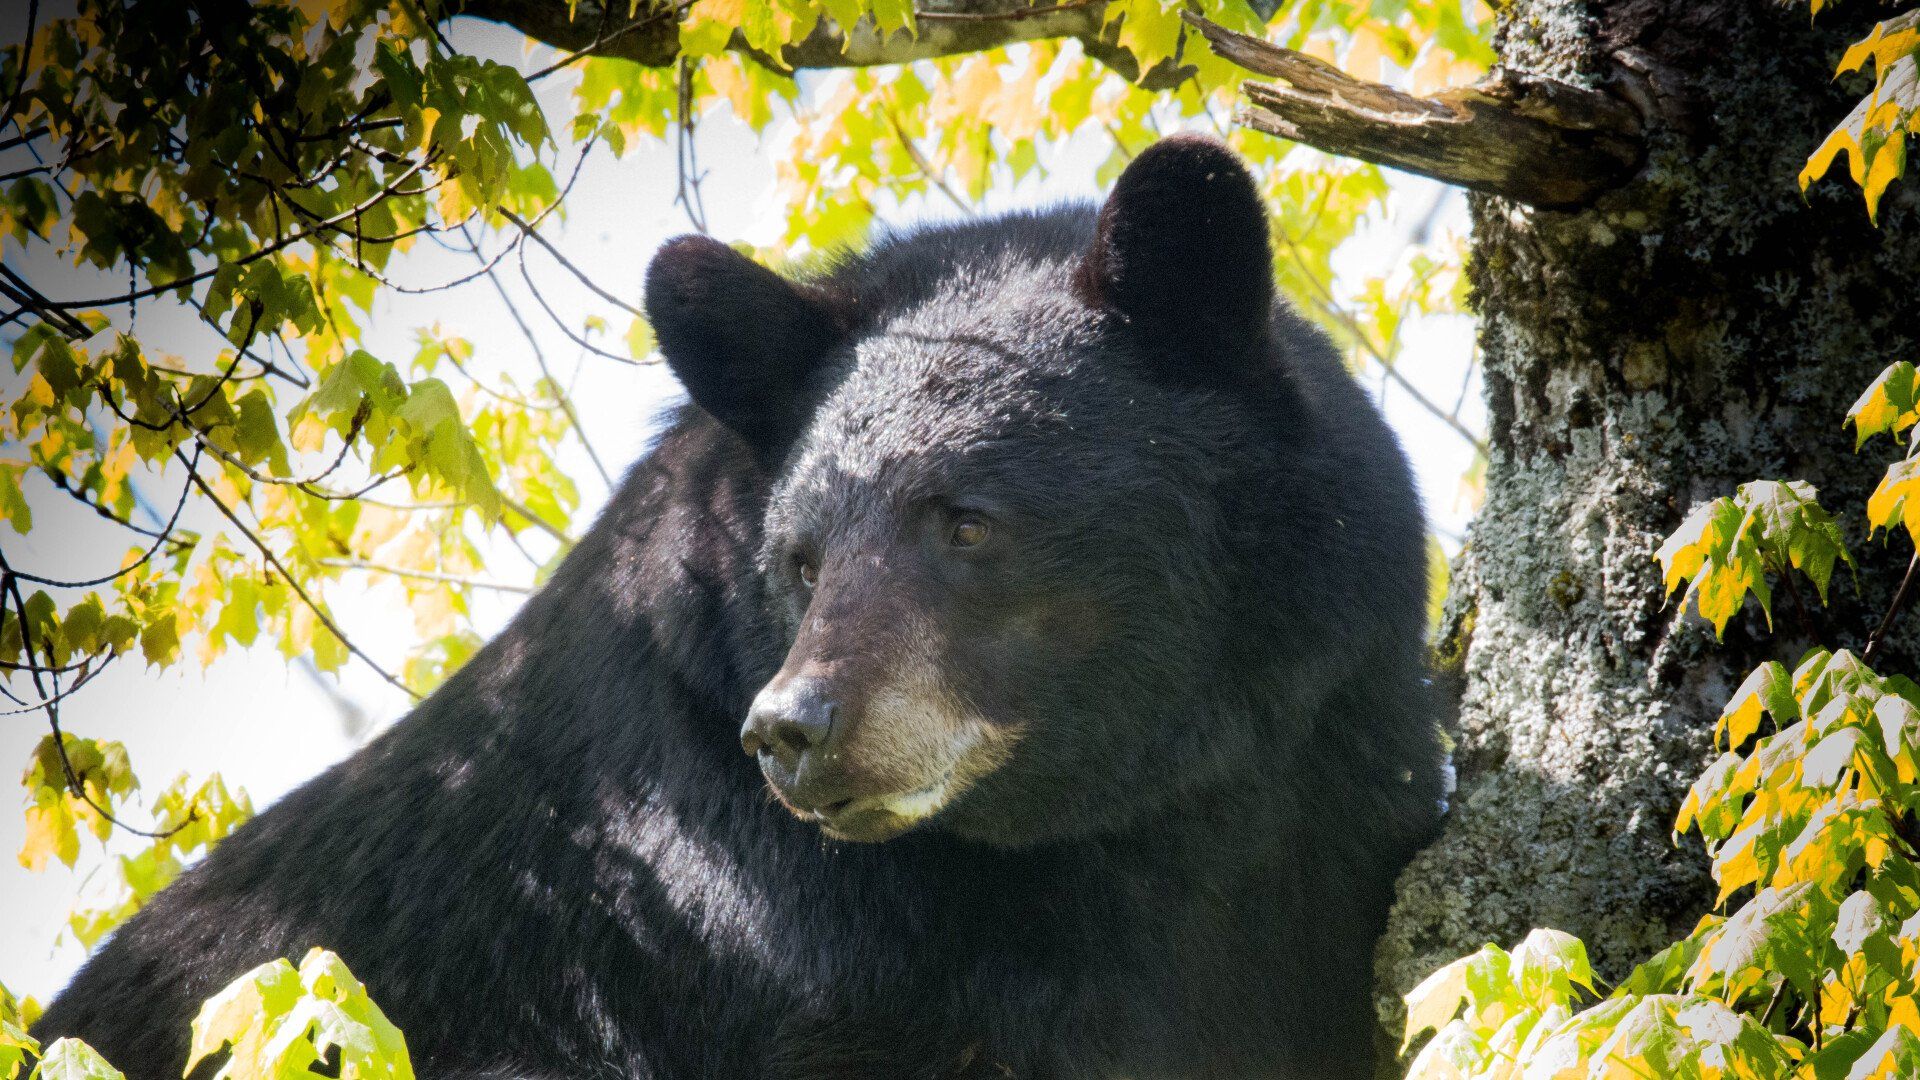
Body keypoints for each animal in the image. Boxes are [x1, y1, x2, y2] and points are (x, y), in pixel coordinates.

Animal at [33, 134, 1444, 1079]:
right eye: (802, 557)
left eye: (967, 521)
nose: (793, 729)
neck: (1144, 823)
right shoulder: (767, 953)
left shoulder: (1315, 847)